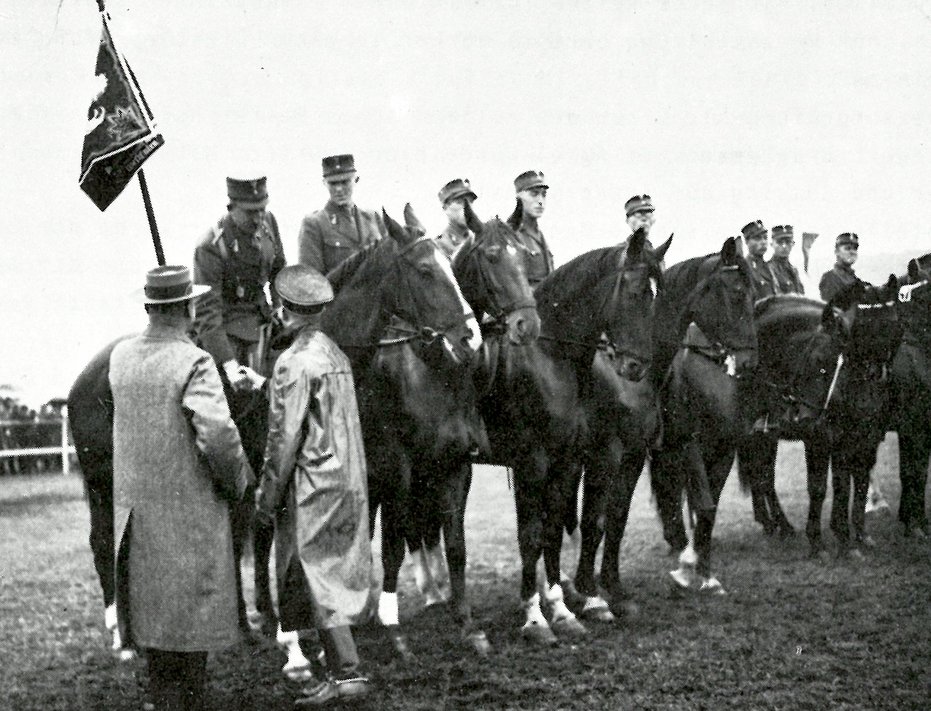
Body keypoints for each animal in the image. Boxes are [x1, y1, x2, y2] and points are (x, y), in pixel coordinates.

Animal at [322, 204, 492, 656]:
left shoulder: (454, 468)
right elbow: (393, 548)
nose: (471, 340)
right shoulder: (397, 474)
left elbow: (455, 544)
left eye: (452, 265)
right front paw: (394, 629)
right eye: (424, 270)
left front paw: (466, 623)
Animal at [476, 228, 668, 644]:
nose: (636, 366)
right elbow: (550, 531)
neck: (548, 356)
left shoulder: (599, 458)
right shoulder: (571, 458)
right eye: (634, 293)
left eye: (657, 296)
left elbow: (594, 522)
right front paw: (550, 610)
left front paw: (582, 600)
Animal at [652, 239, 760, 596]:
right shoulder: (689, 447)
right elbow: (703, 505)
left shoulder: (724, 449)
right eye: (738, 293)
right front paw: (690, 567)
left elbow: (708, 509)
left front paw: (706, 571)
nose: (749, 362)